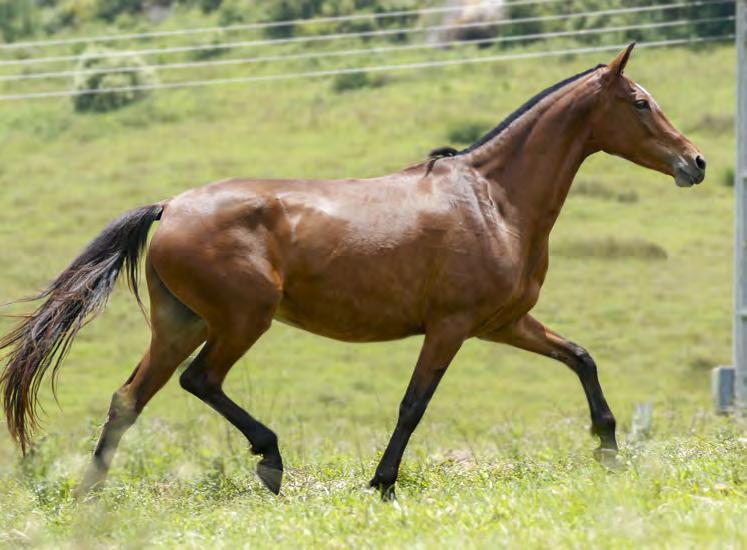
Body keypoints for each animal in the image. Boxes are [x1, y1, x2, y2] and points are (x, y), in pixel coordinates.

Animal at [0, 43, 708, 500]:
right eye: (640, 103)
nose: (695, 162)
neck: (495, 200)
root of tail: (170, 207)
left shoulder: (505, 324)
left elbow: (582, 358)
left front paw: (609, 452)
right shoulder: (450, 327)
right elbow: (413, 406)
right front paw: (383, 484)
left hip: (181, 324)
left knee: (128, 399)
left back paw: (89, 497)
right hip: (240, 320)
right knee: (200, 381)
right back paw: (270, 461)